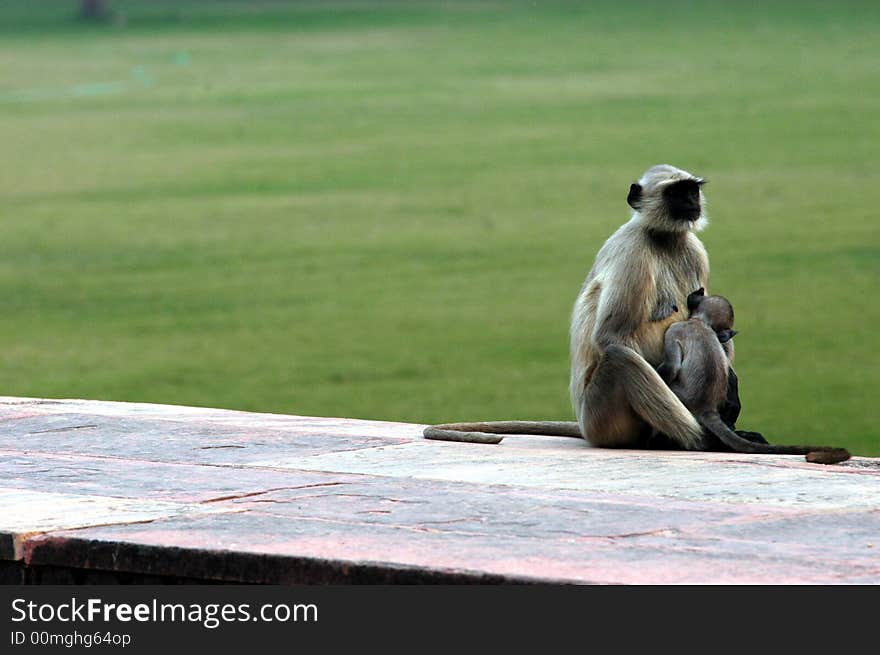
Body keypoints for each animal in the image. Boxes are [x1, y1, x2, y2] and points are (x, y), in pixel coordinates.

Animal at [428, 164, 748, 452]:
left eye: (691, 190)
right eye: (676, 193)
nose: (692, 202)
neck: (663, 238)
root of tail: (583, 424)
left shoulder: (696, 251)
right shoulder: (632, 254)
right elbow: (610, 335)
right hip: (602, 418)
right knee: (620, 357)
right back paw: (700, 440)